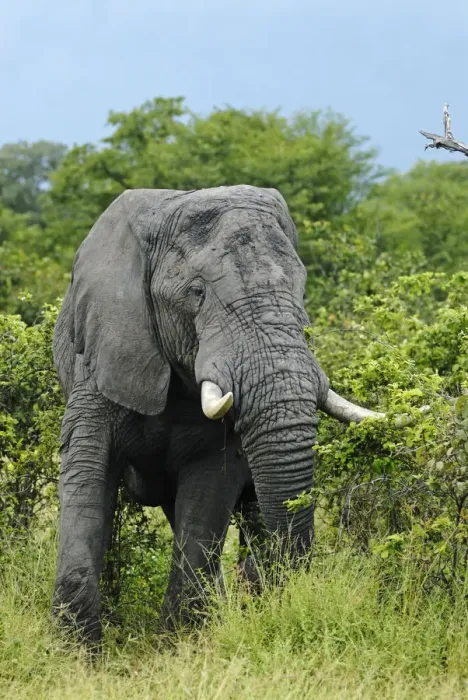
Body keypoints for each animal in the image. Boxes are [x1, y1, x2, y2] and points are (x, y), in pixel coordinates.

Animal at [52, 185, 380, 645]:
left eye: (302, 291)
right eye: (197, 293)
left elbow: (209, 489)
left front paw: (179, 645)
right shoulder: (99, 355)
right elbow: (86, 471)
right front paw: (77, 652)